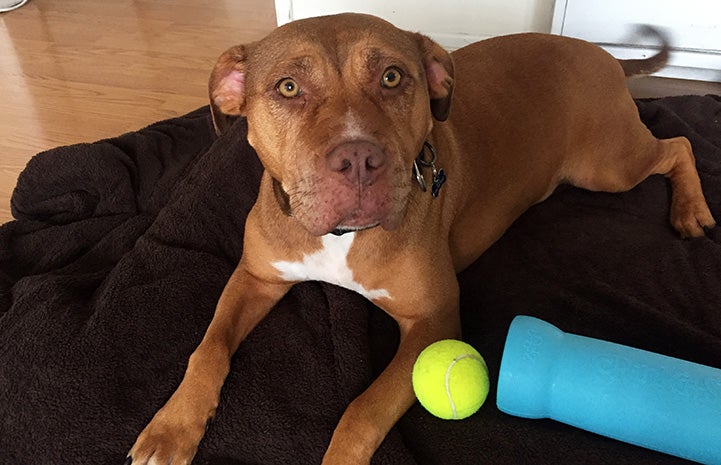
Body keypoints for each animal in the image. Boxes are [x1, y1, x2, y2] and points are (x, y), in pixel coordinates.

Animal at [128, 12, 716, 462]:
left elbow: (363, 410)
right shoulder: (255, 277)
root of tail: (599, 52)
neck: (341, 237)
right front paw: (171, 428)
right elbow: (207, 349)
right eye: (288, 88)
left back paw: (691, 210)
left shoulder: (432, 322)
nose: (358, 159)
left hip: (607, 164)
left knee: (679, 145)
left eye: (392, 77)